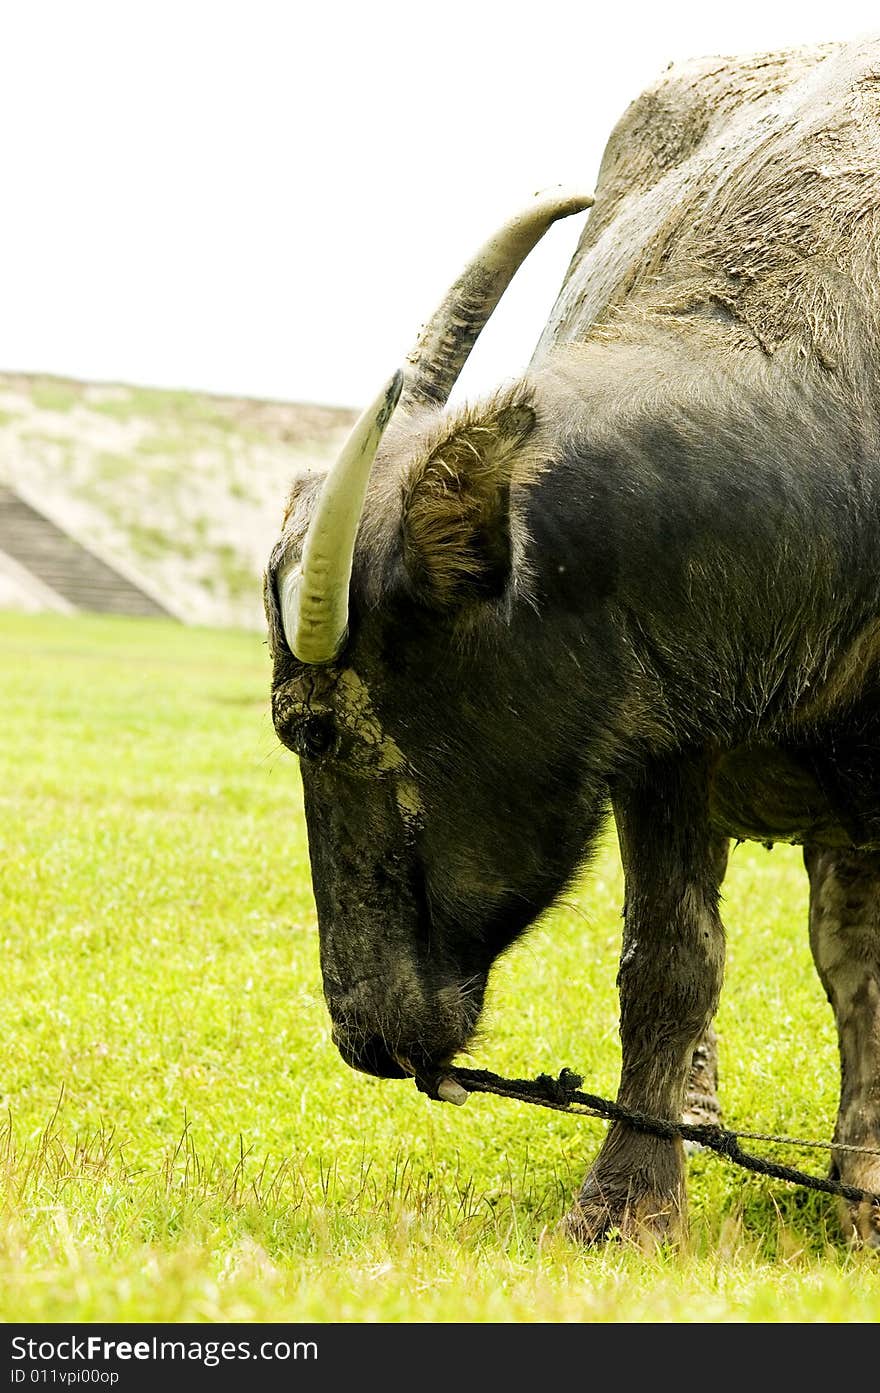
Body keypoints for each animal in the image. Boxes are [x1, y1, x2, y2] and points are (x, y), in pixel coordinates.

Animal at [264, 38, 880, 1248]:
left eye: (325, 735)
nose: (363, 1033)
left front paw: (868, 1193)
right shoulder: (660, 737)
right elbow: (669, 963)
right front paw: (629, 1201)